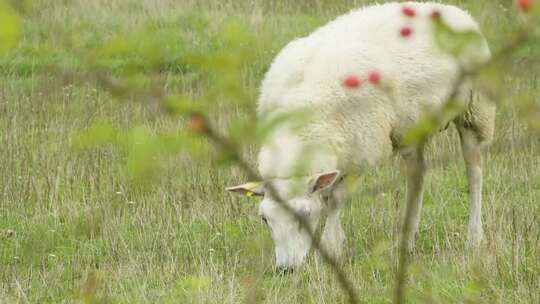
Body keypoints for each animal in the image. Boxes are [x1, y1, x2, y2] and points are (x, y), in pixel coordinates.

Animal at [226, 1, 496, 270]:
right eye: (265, 219)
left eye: (305, 215)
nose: (286, 269)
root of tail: (453, 10)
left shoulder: (360, 149)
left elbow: (335, 199)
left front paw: (332, 246)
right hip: (411, 126)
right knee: (417, 174)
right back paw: (407, 242)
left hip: (474, 109)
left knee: (474, 172)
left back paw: (474, 238)